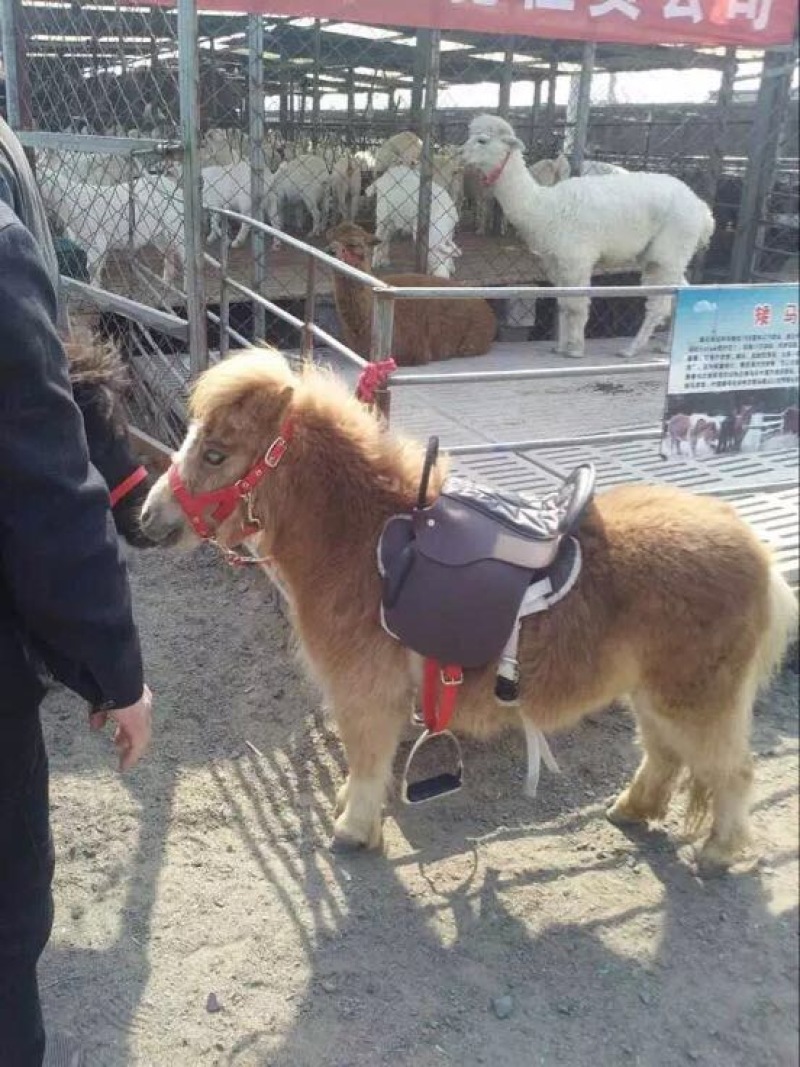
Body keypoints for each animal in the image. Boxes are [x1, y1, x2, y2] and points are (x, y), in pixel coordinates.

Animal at [140, 350, 798, 873]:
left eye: (216, 454)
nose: (147, 518)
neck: (359, 540)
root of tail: (759, 553)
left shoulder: (365, 693)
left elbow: (367, 758)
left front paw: (352, 830)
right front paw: (353, 813)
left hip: (698, 702)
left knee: (731, 772)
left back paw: (718, 853)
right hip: (656, 695)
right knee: (665, 756)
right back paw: (632, 811)